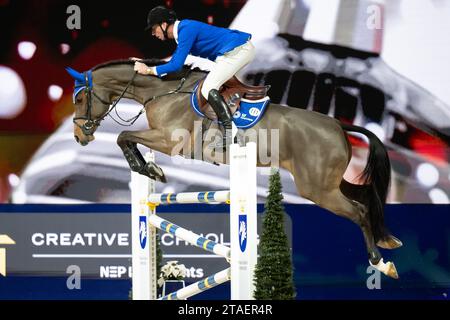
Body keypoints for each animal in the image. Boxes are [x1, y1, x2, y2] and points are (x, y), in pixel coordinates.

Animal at [67, 58, 404, 278]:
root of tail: (338, 125)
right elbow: (126, 138)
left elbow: (124, 136)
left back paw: (380, 262)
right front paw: (149, 169)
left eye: (81, 98)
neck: (163, 92)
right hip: (326, 184)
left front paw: (150, 170)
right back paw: (387, 239)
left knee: (358, 211)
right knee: (365, 194)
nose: (80, 136)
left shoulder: (169, 140)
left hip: (318, 189)